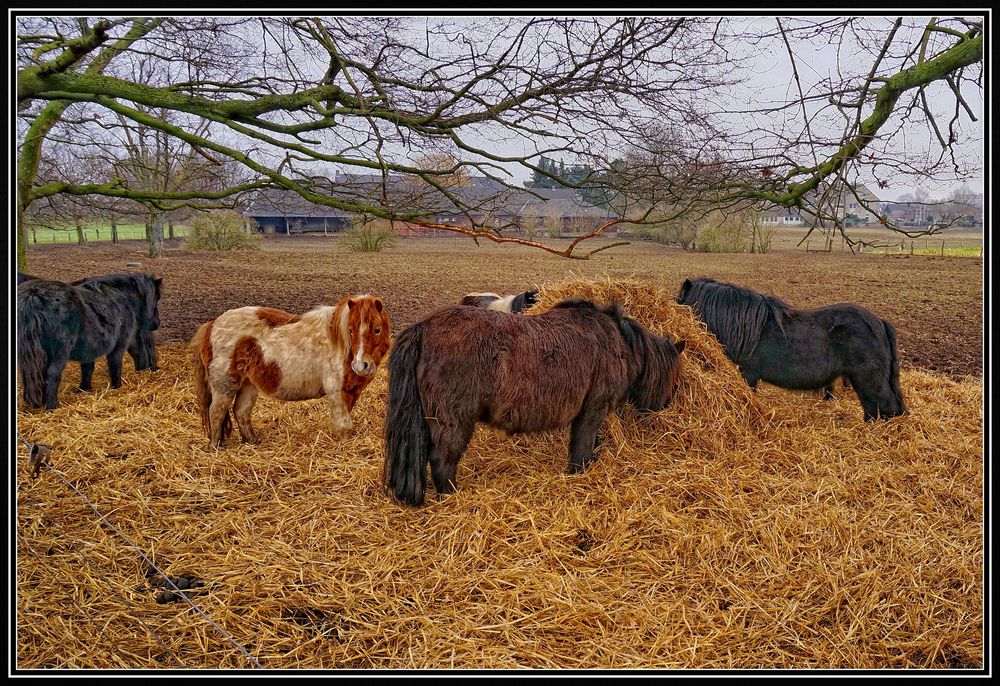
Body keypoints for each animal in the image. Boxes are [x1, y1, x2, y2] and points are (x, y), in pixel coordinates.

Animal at [18, 274, 162, 412]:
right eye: (156, 298)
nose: (156, 323)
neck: (121, 297)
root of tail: (32, 296)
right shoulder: (119, 345)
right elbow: (116, 365)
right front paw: (117, 387)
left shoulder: (89, 349)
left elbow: (87, 370)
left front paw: (84, 389)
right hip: (60, 353)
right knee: (52, 374)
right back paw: (52, 406)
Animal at [191, 296, 390, 448]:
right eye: (350, 330)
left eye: (377, 330)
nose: (361, 365)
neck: (340, 344)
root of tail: (213, 324)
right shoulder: (336, 391)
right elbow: (344, 424)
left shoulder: (350, 392)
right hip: (224, 386)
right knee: (216, 412)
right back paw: (216, 446)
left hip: (248, 385)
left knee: (241, 411)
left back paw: (253, 441)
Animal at [676, 276, 904, 422]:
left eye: (680, 301)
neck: (741, 325)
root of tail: (880, 323)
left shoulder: (747, 375)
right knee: (871, 409)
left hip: (869, 380)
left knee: (886, 407)